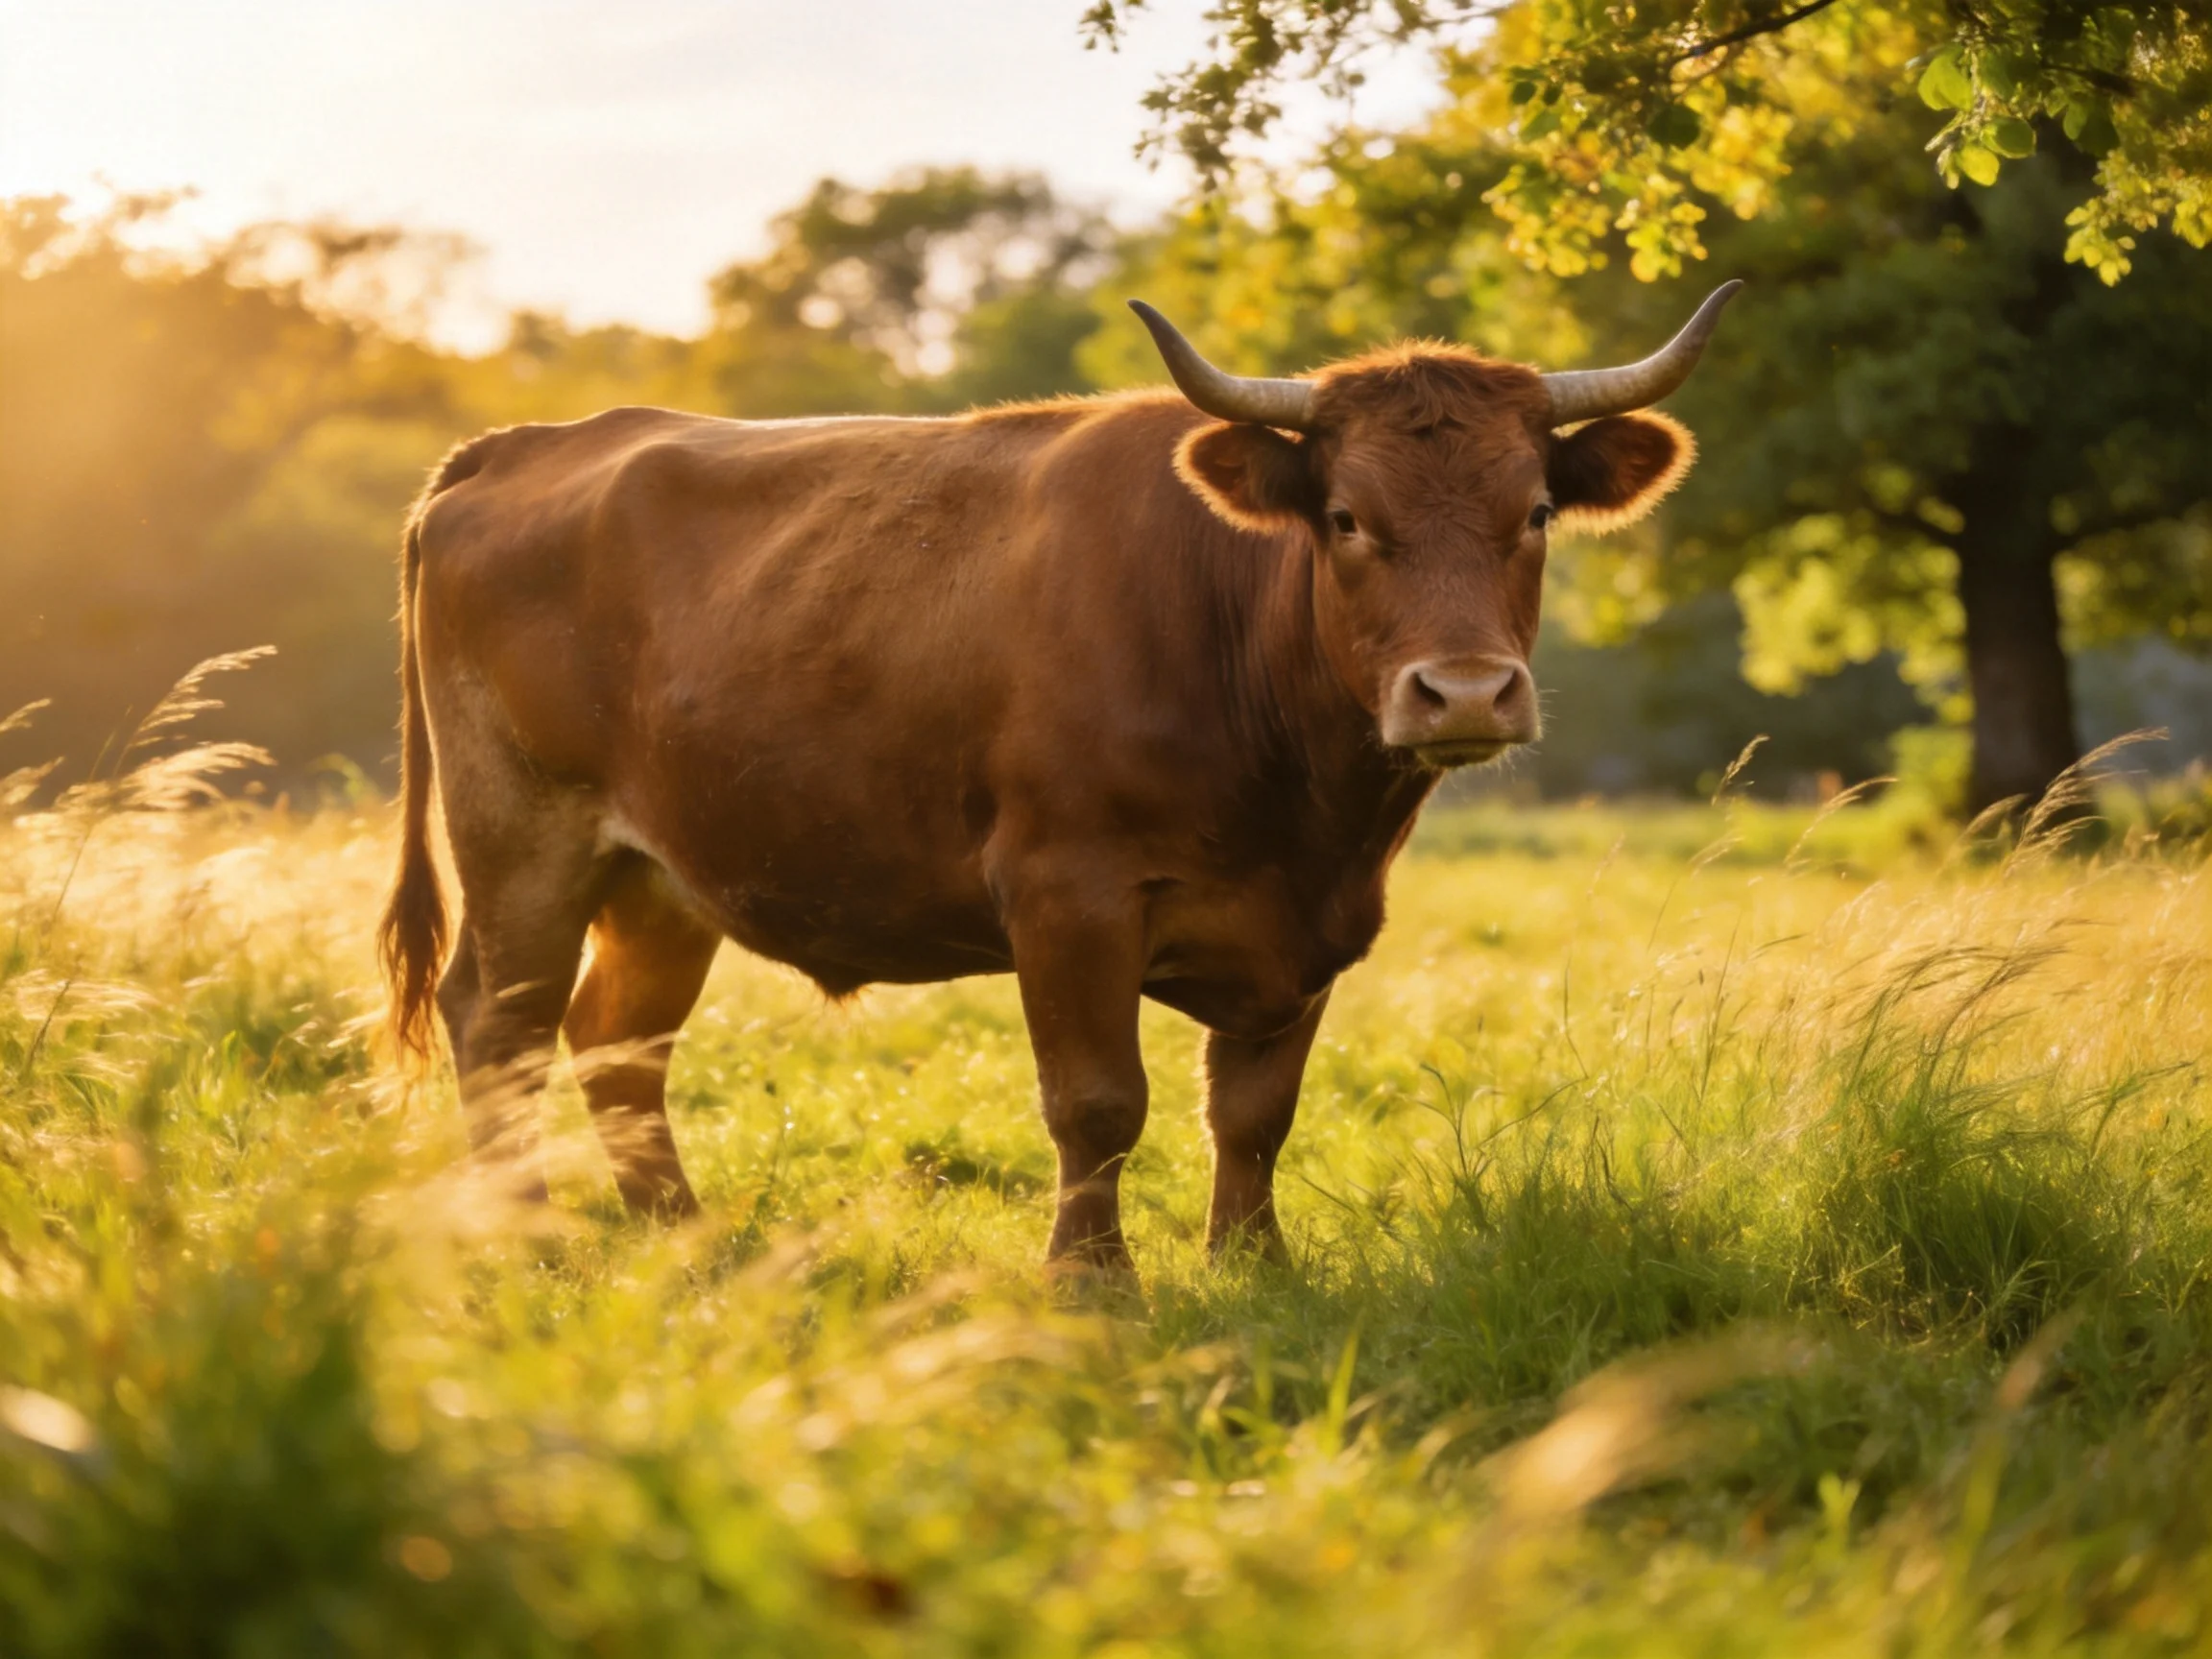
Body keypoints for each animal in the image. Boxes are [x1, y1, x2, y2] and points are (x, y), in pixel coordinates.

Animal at [379, 283, 1739, 1272]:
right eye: (1347, 518)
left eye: (1536, 514)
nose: (1462, 692)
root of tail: (527, 444)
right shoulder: (1066, 894)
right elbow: (1097, 1104)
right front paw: (1093, 1285)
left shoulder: (1310, 928)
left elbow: (1254, 1112)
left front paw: (1255, 1271)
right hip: (523, 837)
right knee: (500, 1024)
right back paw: (525, 1240)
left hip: (664, 875)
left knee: (616, 1042)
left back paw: (684, 1238)